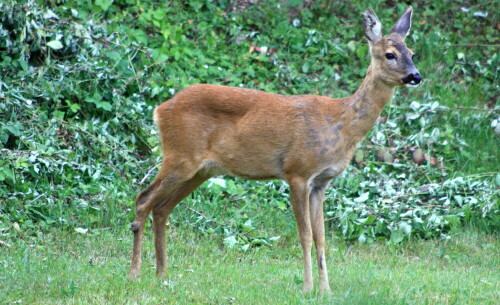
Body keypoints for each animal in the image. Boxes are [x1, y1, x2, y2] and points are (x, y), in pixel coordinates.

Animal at [130, 6, 422, 292]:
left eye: (412, 53)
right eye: (390, 54)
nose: (416, 76)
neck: (339, 124)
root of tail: (160, 109)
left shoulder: (321, 183)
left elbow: (322, 238)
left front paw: (325, 290)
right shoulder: (297, 172)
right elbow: (305, 235)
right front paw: (307, 288)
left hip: (201, 170)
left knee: (162, 208)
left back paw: (162, 275)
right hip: (180, 156)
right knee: (143, 199)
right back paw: (136, 272)